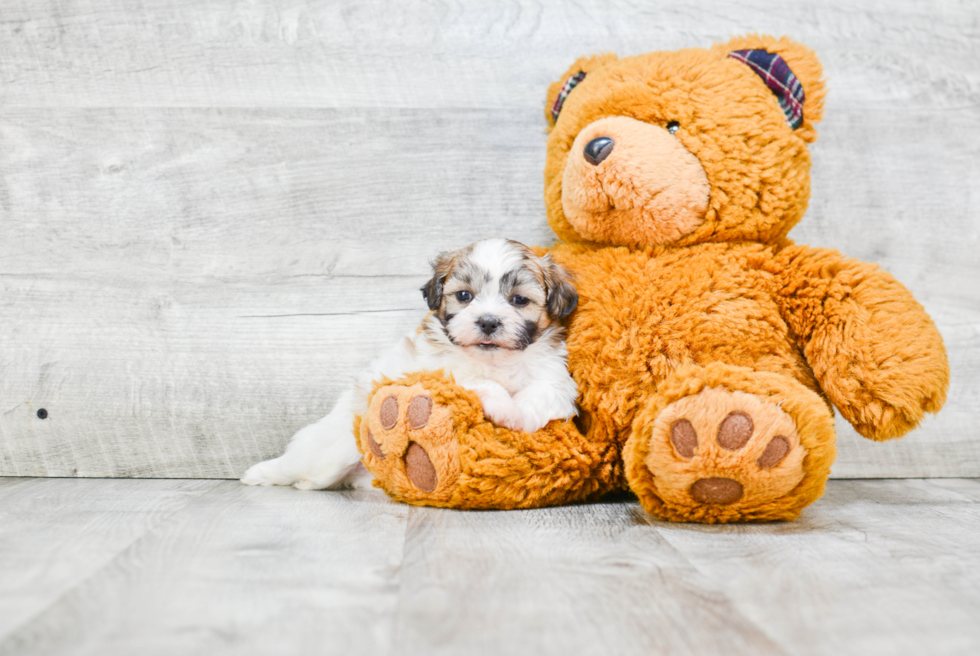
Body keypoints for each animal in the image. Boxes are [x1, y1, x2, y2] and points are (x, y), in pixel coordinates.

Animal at [242, 238, 580, 490]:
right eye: (464, 296)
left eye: (519, 300)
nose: (487, 321)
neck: (494, 359)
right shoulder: (437, 370)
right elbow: (478, 382)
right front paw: (500, 404)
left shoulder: (555, 380)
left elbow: (541, 396)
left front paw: (515, 417)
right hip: (333, 451)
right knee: (301, 469)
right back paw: (263, 474)